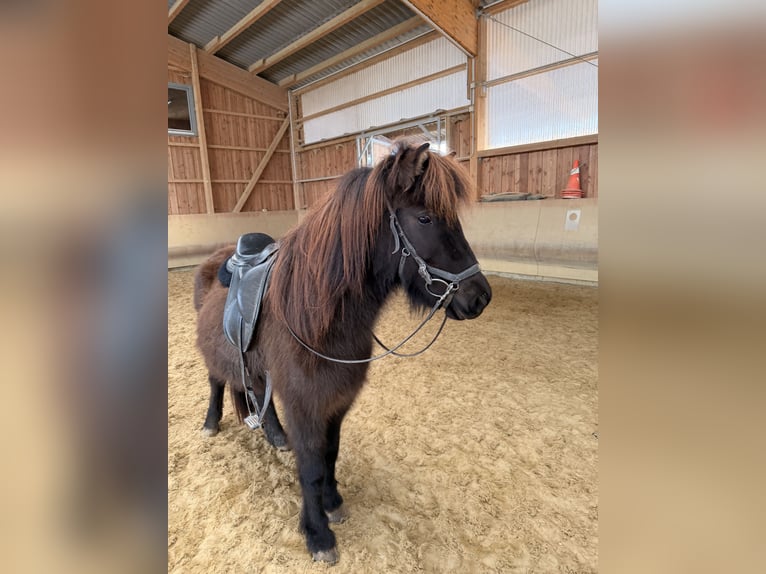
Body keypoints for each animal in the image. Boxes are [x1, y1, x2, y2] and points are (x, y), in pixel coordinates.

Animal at [193, 140, 492, 563]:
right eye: (425, 218)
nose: (480, 296)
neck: (315, 315)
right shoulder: (305, 405)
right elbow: (310, 465)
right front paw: (318, 535)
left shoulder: (337, 401)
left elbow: (330, 454)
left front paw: (332, 503)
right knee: (217, 382)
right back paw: (211, 423)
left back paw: (274, 435)